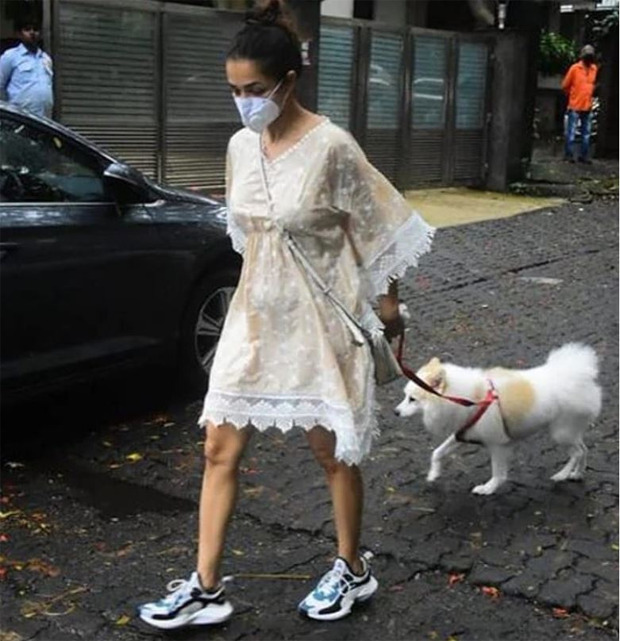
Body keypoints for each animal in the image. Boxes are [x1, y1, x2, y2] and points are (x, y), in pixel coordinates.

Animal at [394, 342, 604, 492]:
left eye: (412, 399)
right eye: (405, 396)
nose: (395, 412)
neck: (471, 398)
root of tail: (578, 374)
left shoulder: (497, 445)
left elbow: (498, 473)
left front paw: (488, 488)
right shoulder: (462, 433)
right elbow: (437, 453)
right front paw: (433, 474)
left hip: (561, 433)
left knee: (577, 453)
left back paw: (562, 474)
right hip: (570, 432)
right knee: (583, 450)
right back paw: (577, 474)